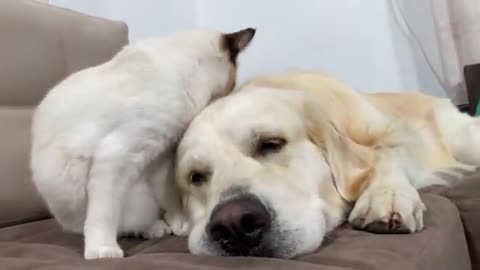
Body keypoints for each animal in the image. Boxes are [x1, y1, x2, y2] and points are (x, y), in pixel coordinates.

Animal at [29, 27, 255, 260]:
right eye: (233, 83)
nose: (231, 92)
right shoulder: (119, 154)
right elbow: (104, 214)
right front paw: (103, 251)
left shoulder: (161, 156)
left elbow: (169, 197)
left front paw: (180, 225)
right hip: (128, 196)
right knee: (118, 224)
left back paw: (158, 228)